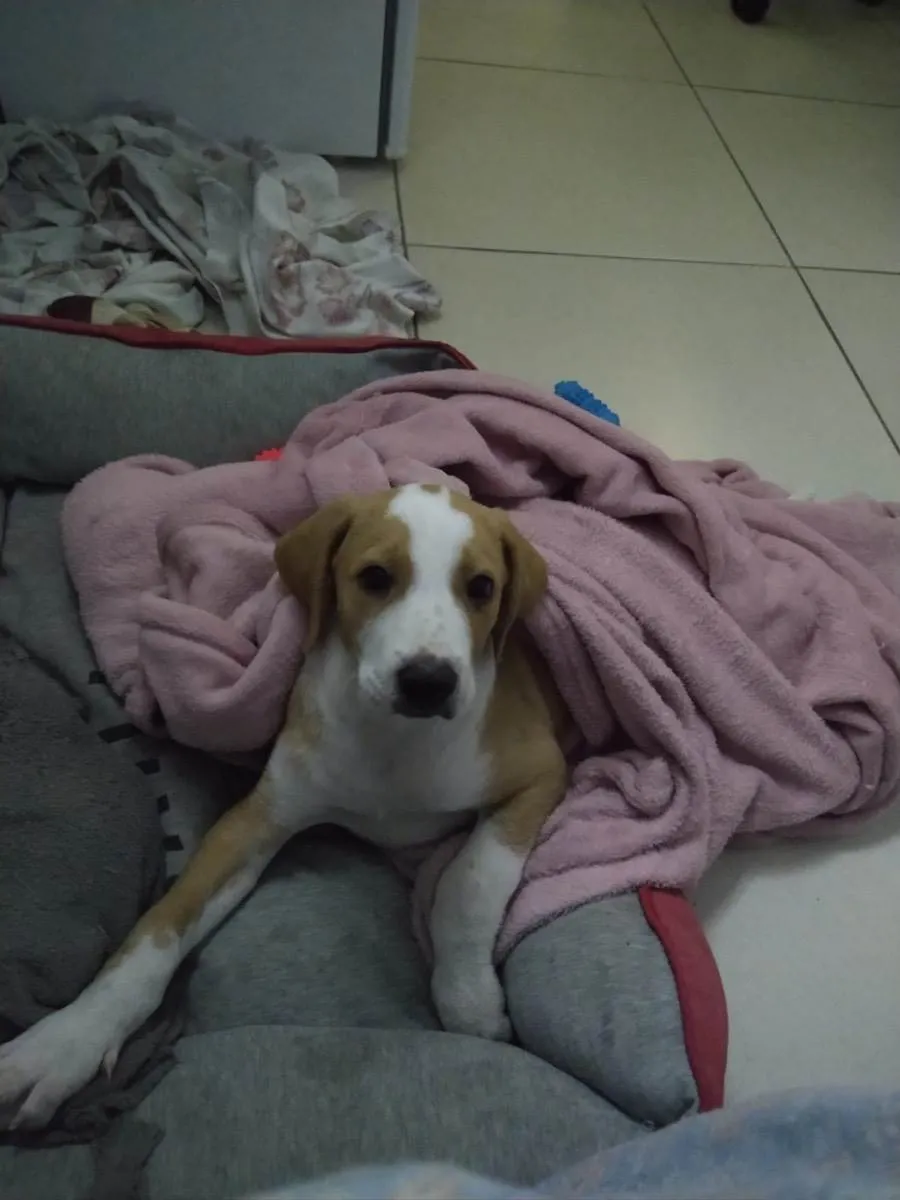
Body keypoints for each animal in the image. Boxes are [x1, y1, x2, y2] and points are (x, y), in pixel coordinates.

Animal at [0, 483, 567, 1130]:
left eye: (481, 588)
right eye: (375, 577)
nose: (429, 682)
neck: (394, 743)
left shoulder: (541, 773)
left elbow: (467, 884)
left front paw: (467, 997)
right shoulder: (256, 819)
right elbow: (158, 927)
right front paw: (67, 1041)